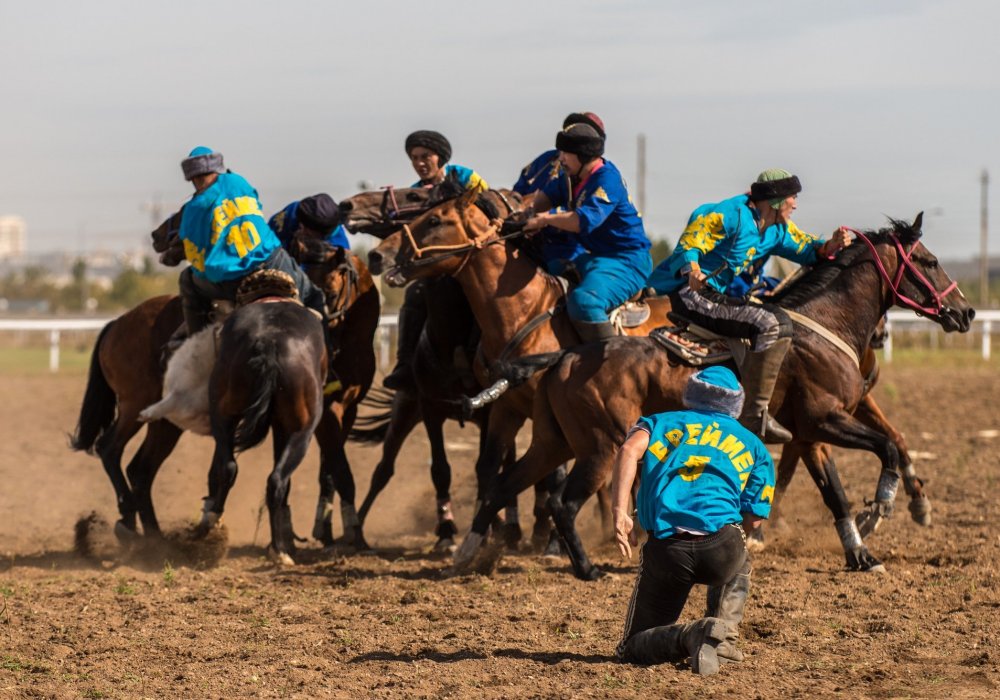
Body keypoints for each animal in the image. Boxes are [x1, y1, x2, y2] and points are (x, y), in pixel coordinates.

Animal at [450, 215, 972, 580]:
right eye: (927, 260)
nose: (964, 312)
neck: (823, 326)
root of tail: (567, 356)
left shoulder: (811, 435)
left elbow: (836, 492)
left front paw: (860, 553)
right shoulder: (827, 421)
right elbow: (883, 451)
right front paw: (878, 509)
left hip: (552, 443)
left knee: (502, 485)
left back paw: (467, 554)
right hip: (600, 448)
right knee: (562, 503)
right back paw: (587, 569)